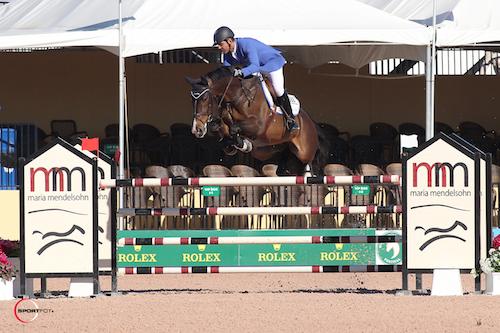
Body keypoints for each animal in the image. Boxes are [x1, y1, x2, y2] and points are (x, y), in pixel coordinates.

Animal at [186, 66, 326, 175]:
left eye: (205, 98)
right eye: (192, 100)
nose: (196, 129)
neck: (237, 96)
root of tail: (311, 122)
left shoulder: (258, 126)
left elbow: (234, 129)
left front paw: (243, 143)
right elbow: (223, 131)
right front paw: (239, 144)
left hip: (304, 152)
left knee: (311, 164)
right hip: (272, 151)